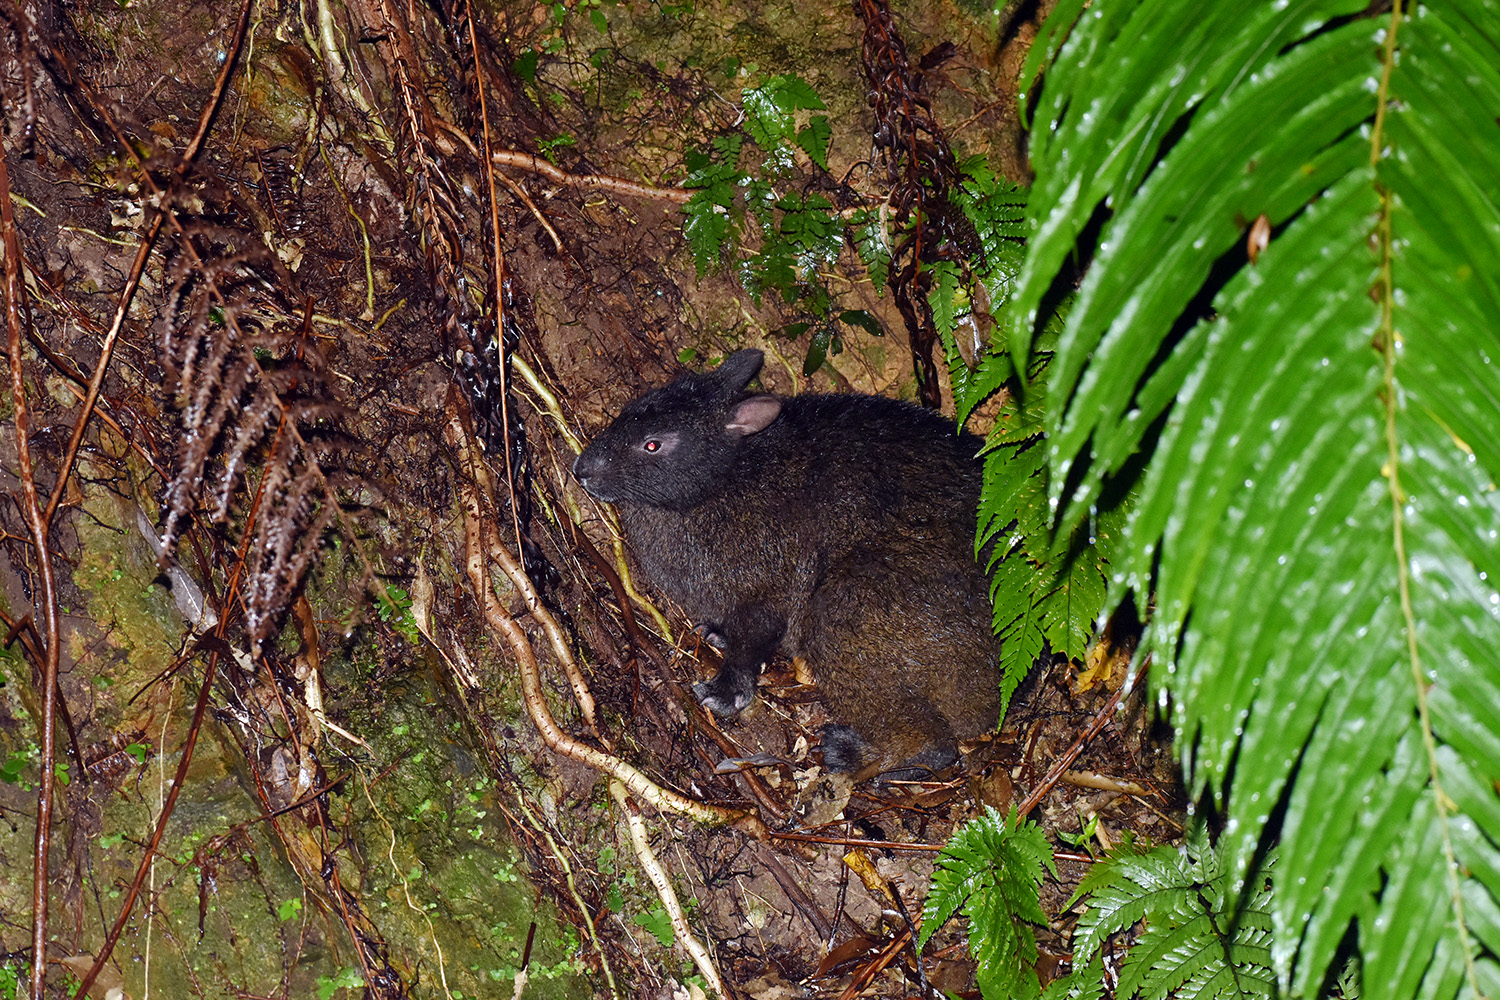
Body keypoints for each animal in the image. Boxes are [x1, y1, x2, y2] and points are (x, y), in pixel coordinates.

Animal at [572, 348, 999, 781]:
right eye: (630, 410)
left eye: (653, 445)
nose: (582, 469)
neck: (723, 481)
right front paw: (716, 634)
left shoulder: (768, 588)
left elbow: (748, 648)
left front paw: (723, 694)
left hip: (845, 610)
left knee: (936, 745)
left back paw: (854, 755)